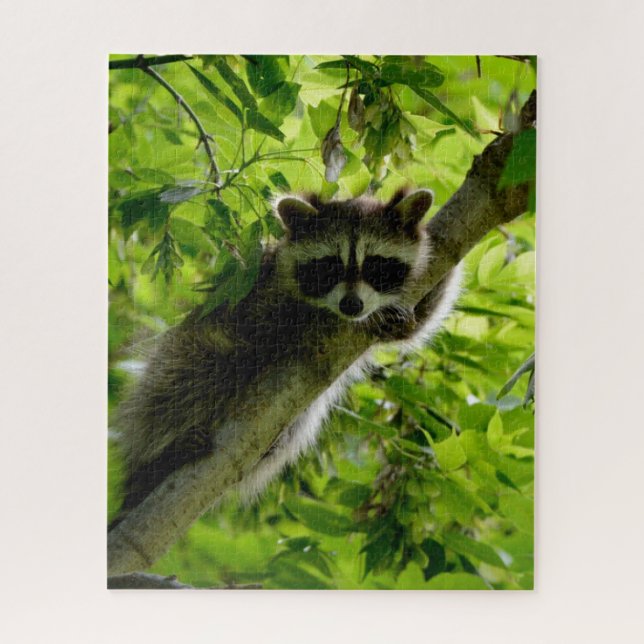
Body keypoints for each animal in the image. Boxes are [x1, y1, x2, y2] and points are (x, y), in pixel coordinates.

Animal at [111, 187, 461, 526]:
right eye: (329, 266)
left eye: (375, 264)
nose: (351, 305)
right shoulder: (260, 291)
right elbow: (268, 328)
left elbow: (419, 320)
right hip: (176, 361)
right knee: (198, 372)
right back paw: (164, 452)